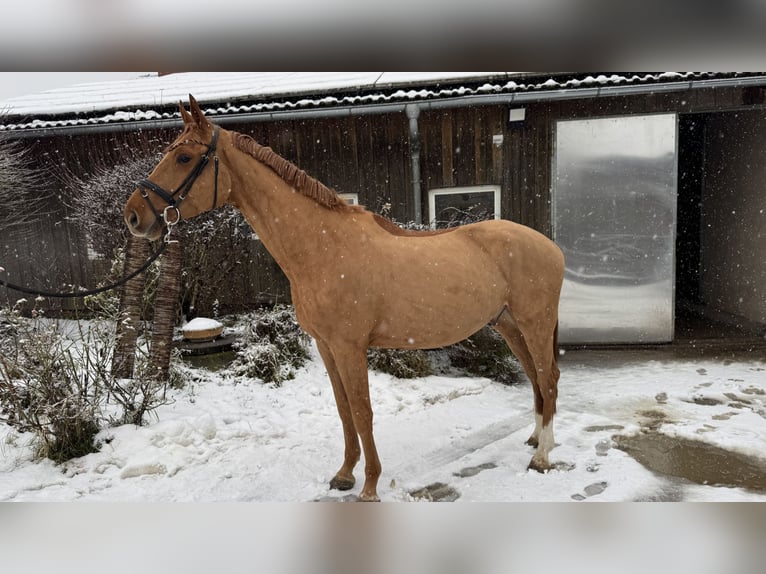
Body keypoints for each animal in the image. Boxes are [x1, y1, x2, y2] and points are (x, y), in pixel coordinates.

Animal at [126, 97, 568, 502]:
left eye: (184, 156)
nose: (132, 216)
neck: (324, 247)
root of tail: (550, 246)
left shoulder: (350, 346)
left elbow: (362, 410)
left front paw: (369, 487)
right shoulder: (326, 346)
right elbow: (343, 411)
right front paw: (344, 475)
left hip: (535, 323)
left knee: (548, 378)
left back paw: (542, 457)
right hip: (509, 324)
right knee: (537, 379)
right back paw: (535, 440)